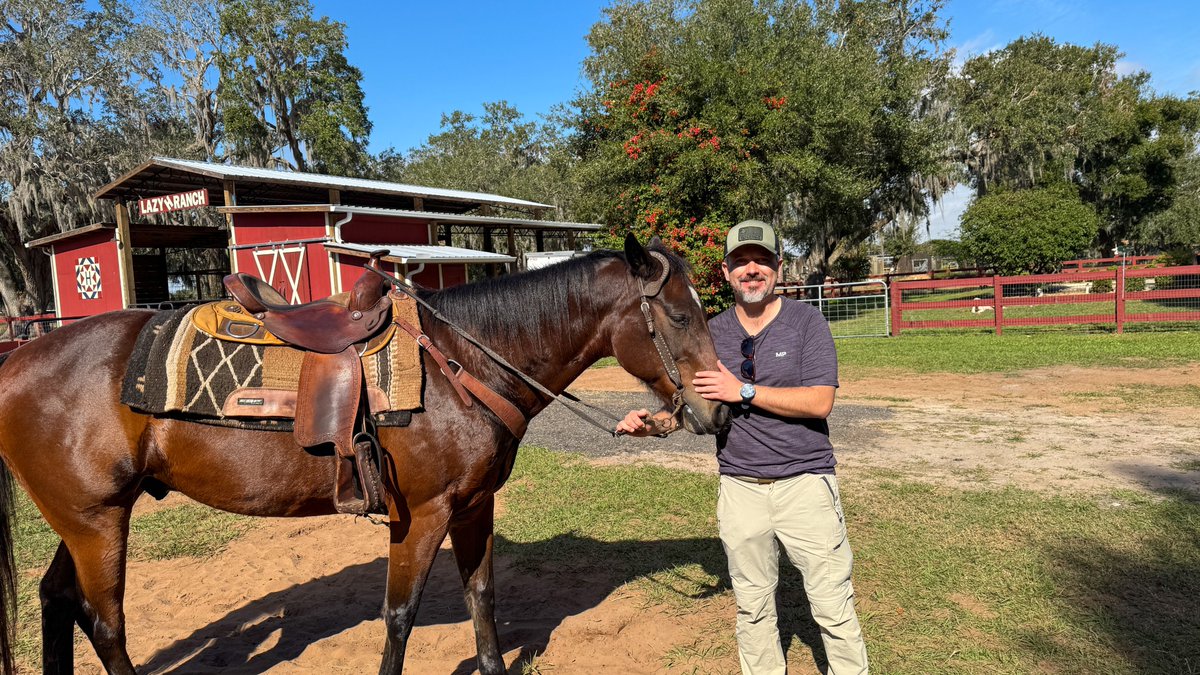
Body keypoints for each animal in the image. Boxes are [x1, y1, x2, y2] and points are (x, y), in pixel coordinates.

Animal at [0, 235, 731, 674]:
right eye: (679, 317)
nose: (720, 411)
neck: (462, 362)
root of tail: (17, 361)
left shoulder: (474, 506)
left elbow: (483, 596)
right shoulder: (424, 514)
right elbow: (400, 614)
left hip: (85, 519)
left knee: (57, 599)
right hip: (96, 523)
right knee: (106, 622)